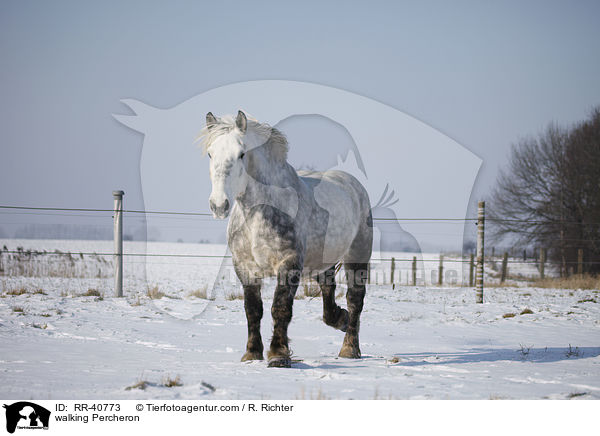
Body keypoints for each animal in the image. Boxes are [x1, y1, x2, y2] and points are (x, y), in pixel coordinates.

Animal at [199, 110, 372, 368]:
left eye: (241, 154)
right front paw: (252, 354)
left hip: (357, 257)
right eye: (210, 153)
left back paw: (350, 348)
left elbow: (280, 309)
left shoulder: (288, 265)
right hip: (323, 262)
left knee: (355, 299)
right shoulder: (245, 268)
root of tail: (354, 186)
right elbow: (253, 310)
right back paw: (340, 319)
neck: (256, 217)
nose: (219, 205)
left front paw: (278, 355)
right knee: (328, 293)